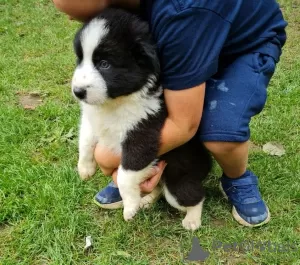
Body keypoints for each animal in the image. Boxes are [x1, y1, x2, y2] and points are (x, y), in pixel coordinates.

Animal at [71, 8, 212, 229]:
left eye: (104, 64)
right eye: (80, 59)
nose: (77, 92)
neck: (114, 103)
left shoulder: (142, 133)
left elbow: (125, 173)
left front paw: (130, 207)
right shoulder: (91, 118)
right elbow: (84, 140)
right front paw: (85, 168)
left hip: (177, 183)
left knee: (196, 196)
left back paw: (192, 219)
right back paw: (146, 200)